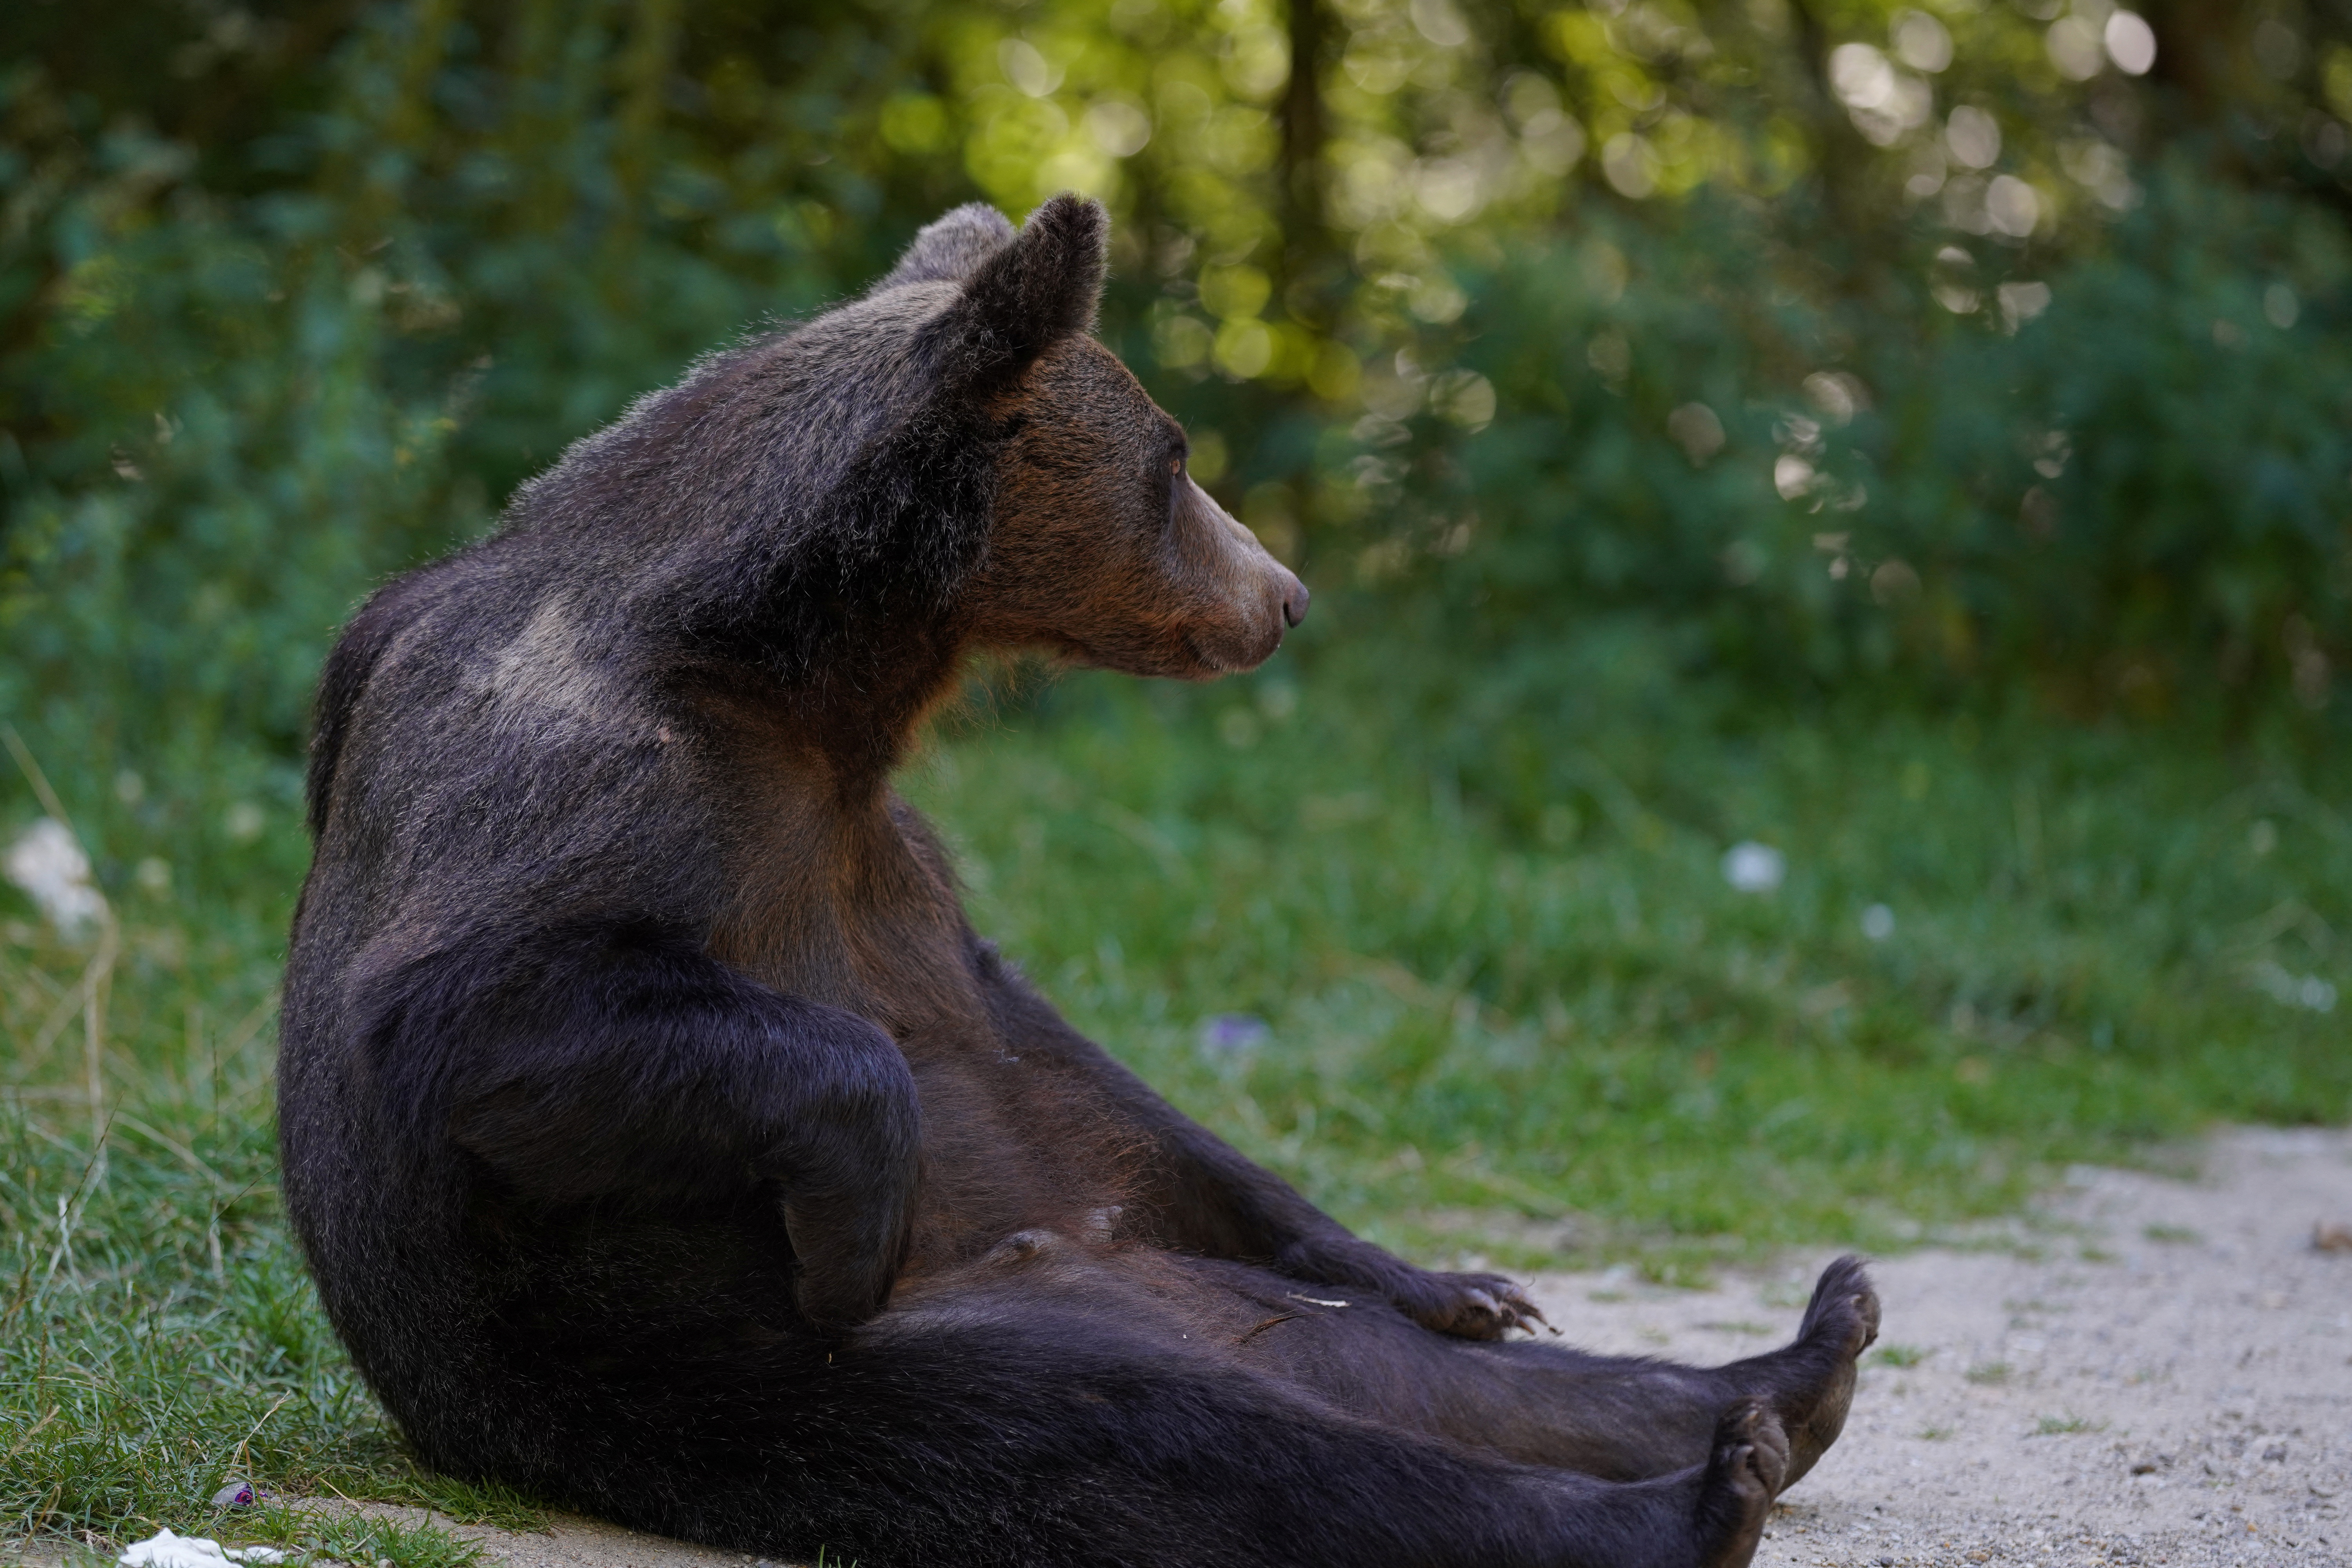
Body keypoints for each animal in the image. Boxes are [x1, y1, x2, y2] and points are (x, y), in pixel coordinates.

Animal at [280, 194, 1878, 1568]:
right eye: (1172, 458)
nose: (1284, 592)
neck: (799, 679)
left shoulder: (890, 864)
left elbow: (1082, 1070)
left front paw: (1464, 1277)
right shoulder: (600, 781)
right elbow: (482, 1007)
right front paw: (860, 1214)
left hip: (1192, 1295)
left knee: (1405, 1373)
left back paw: (1789, 1364)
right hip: (767, 1373)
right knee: (1177, 1445)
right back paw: (1691, 1496)